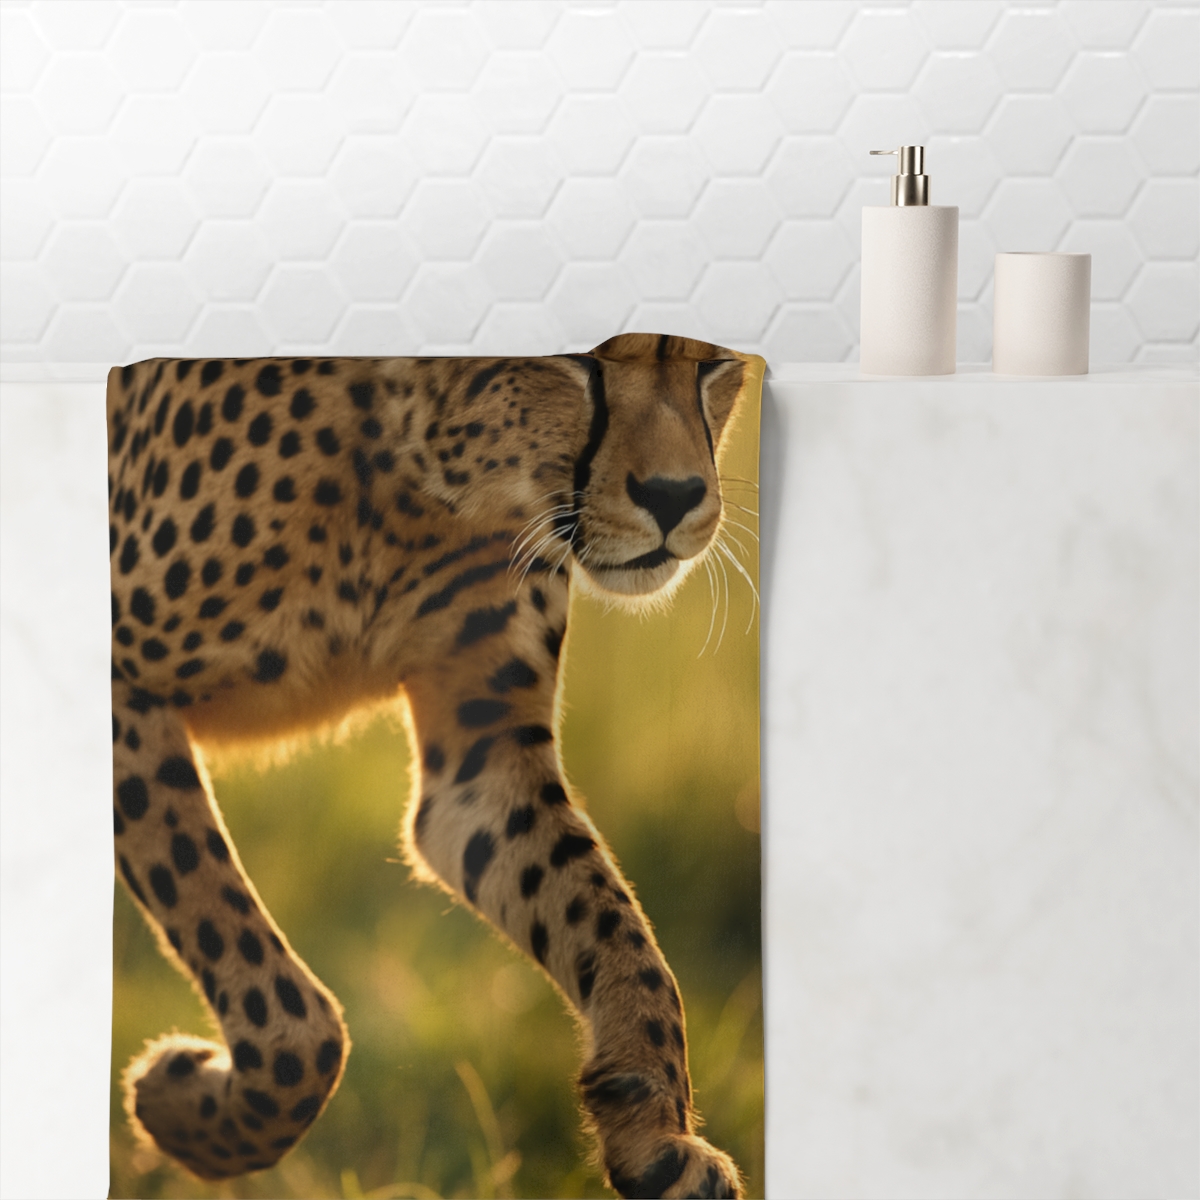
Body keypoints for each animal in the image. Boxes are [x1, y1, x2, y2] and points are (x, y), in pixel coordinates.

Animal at [107, 331, 763, 1199]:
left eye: (713, 362)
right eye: (577, 362)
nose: (674, 496)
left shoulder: (480, 767)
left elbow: (615, 926)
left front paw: (653, 1130)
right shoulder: (110, 684)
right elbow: (289, 1011)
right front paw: (180, 1097)